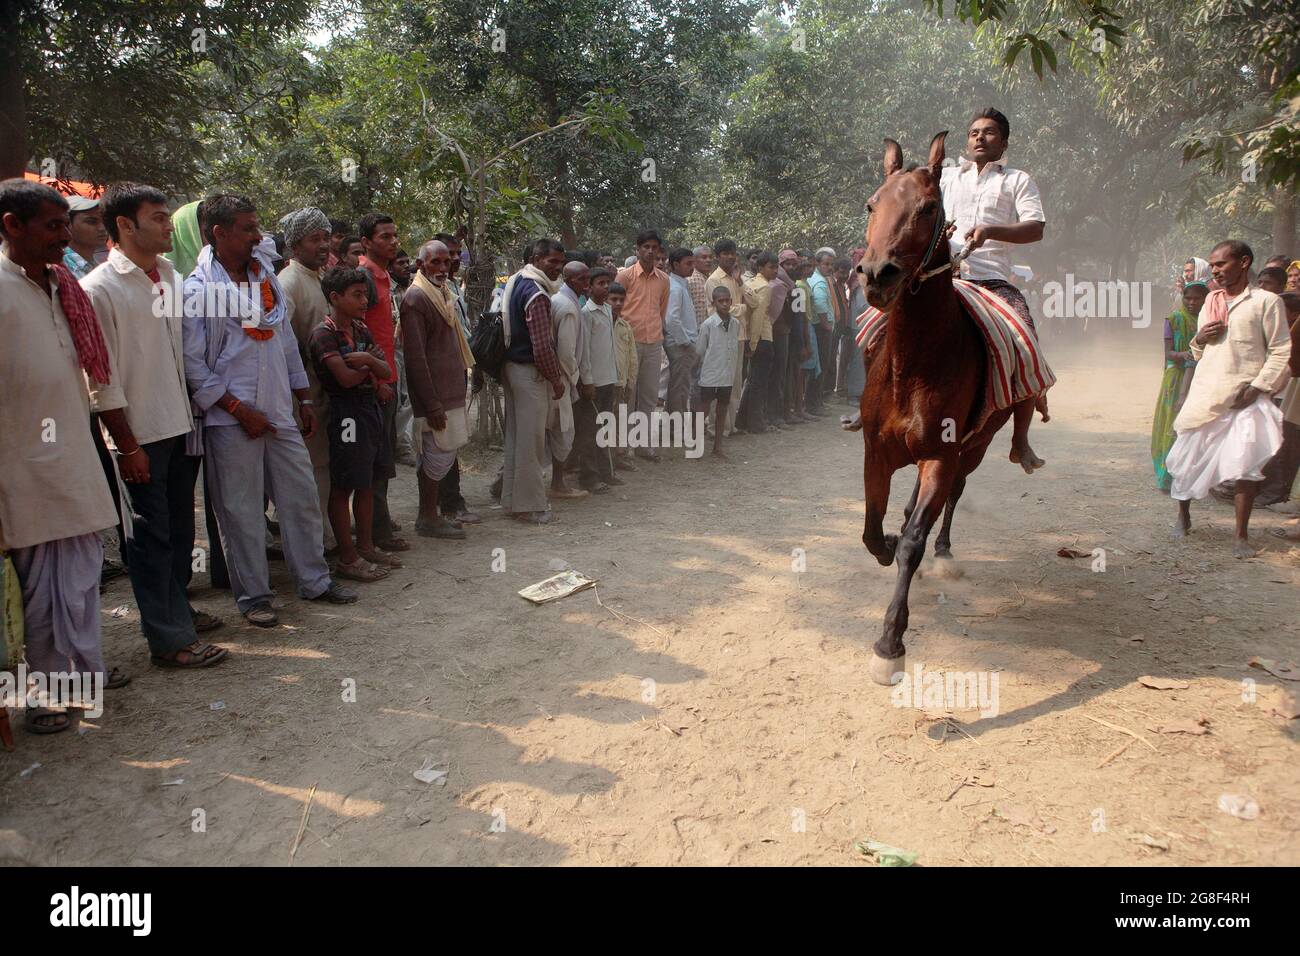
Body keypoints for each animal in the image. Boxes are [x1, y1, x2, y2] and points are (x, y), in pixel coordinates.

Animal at [857, 132, 1019, 686]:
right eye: (872, 204)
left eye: (928, 208)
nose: (876, 275)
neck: (914, 365)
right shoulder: (876, 453)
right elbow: (872, 530)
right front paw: (885, 541)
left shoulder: (942, 456)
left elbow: (912, 541)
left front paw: (889, 643)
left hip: (976, 446)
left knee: (953, 497)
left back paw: (943, 552)